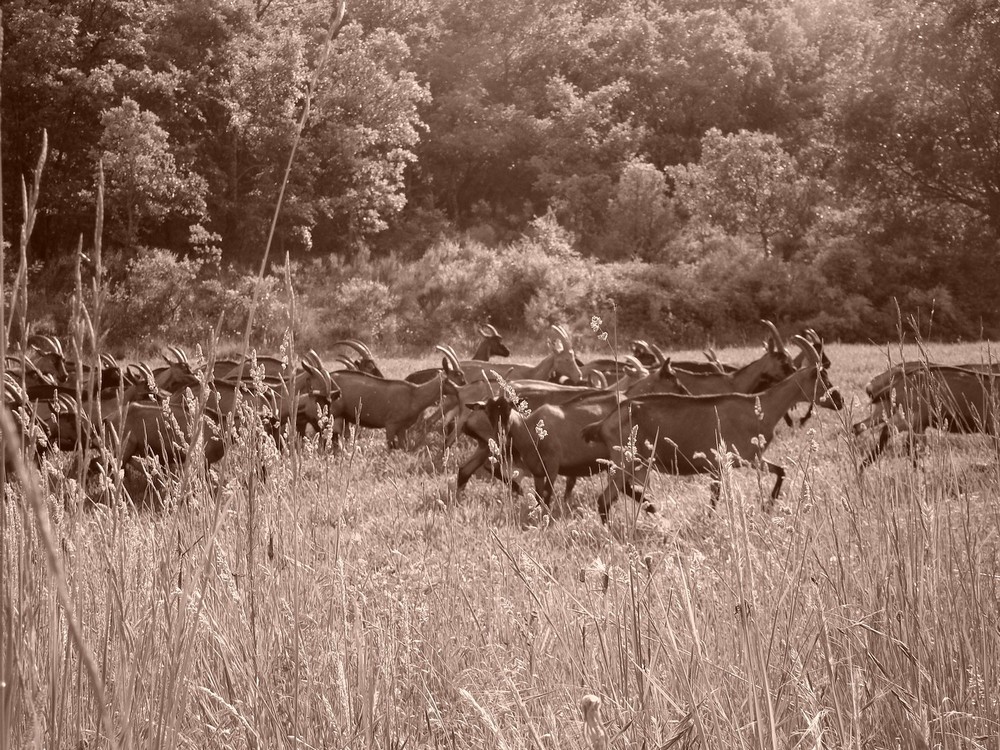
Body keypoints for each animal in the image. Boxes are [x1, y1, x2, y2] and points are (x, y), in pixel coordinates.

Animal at [584, 340, 840, 524]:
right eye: (820, 378)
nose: (840, 400)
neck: (761, 407)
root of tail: (602, 424)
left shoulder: (744, 460)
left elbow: (781, 471)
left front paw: (767, 504)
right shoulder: (731, 460)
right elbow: (717, 496)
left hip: (636, 463)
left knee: (622, 491)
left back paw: (651, 508)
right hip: (625, 462)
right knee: (604, 500)